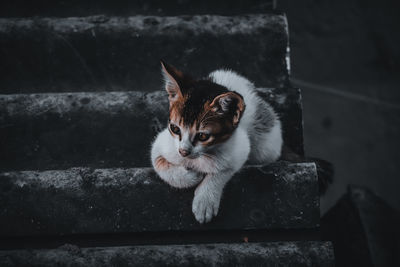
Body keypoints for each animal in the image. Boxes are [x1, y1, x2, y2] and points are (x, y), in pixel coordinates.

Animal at [150, 62, 284, 224]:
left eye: (202, 136)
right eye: (175, 128)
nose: (183, 152)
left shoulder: (240, 148)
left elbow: (223, 170)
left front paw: (205, 200)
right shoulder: (163, 144)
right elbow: (159, 162)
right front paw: (191, 177)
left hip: (266, 145)